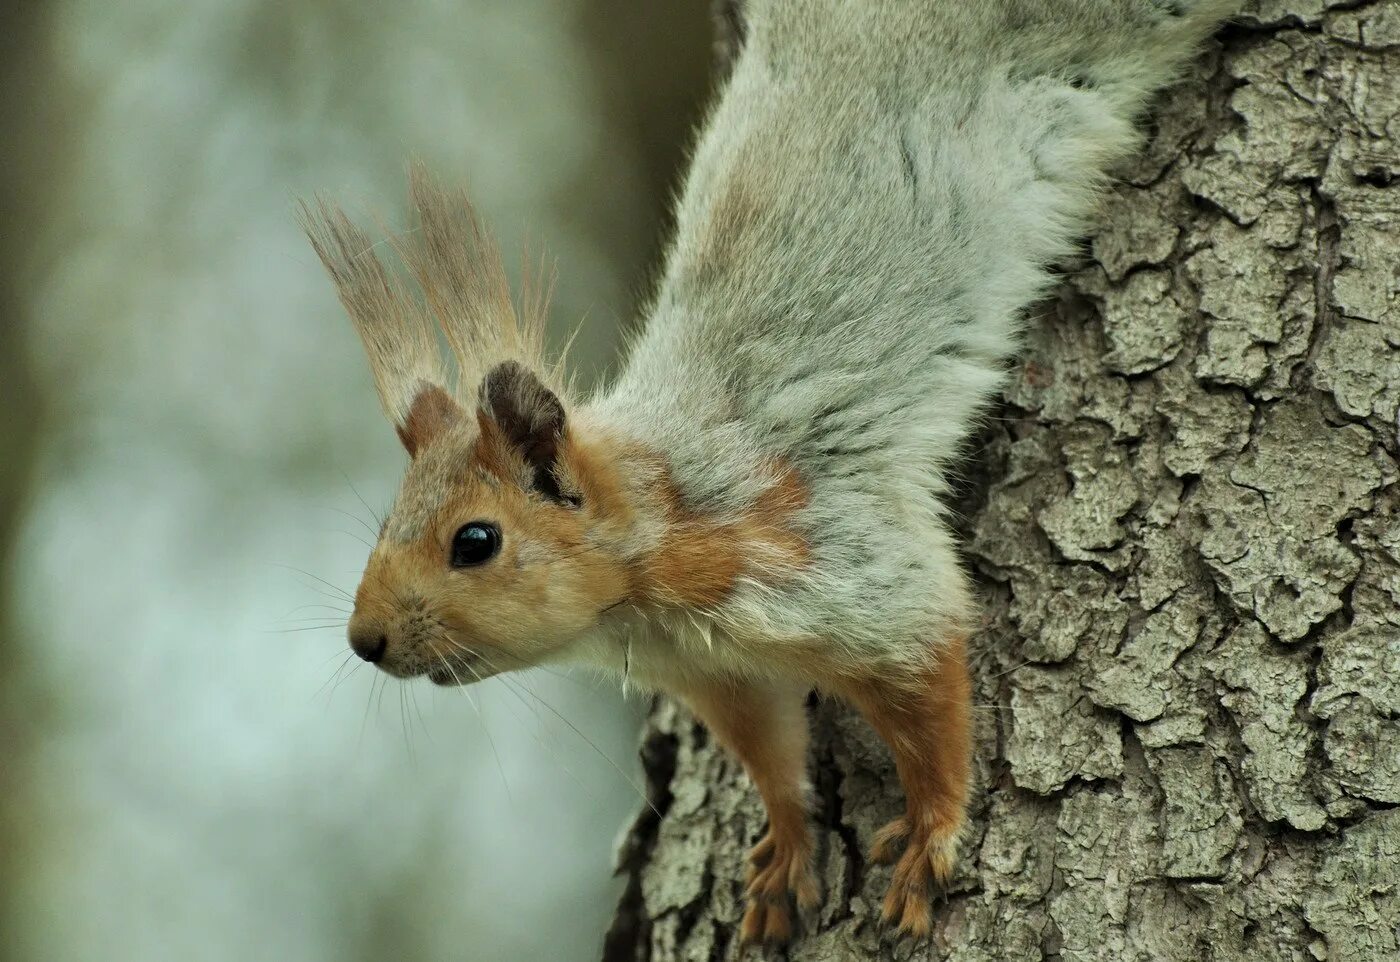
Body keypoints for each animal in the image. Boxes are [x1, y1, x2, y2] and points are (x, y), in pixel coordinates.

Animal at [301, 0, 1243, 946]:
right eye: (385, 525)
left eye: (475, 541)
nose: (364, 640)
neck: (649, 569)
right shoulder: (718, 676)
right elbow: (771, 752)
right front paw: (787, 847)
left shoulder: (832, 559)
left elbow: (928, 682)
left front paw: (931, 828)